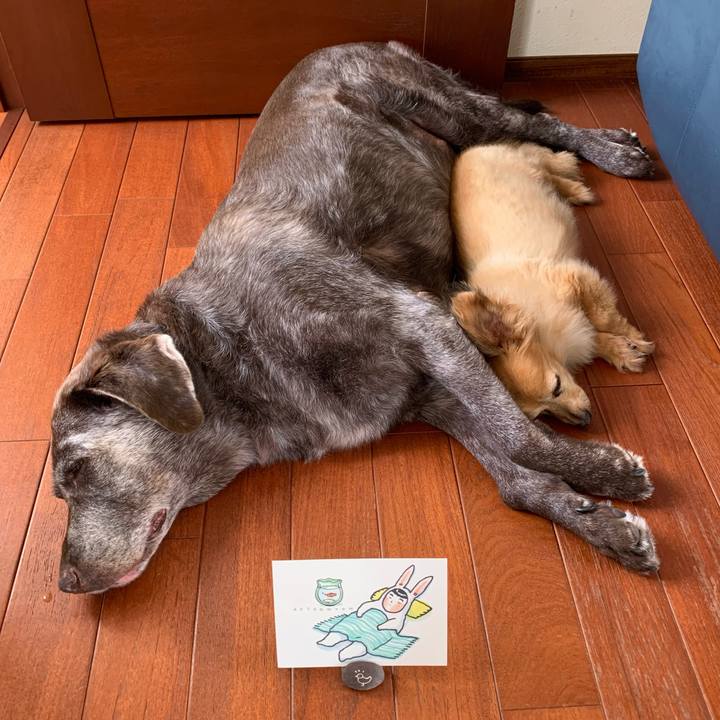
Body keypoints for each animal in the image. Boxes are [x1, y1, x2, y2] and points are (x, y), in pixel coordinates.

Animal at [450, 143, 655, 426]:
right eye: (545, 413)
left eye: (556, 387)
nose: (584, 420)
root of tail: (471, 151)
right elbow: (594, 336)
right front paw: (623, 351)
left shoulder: (579, 280)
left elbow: (604, 318)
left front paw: (636, 338)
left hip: (524, 164)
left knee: (542, 158)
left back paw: (573, 179)